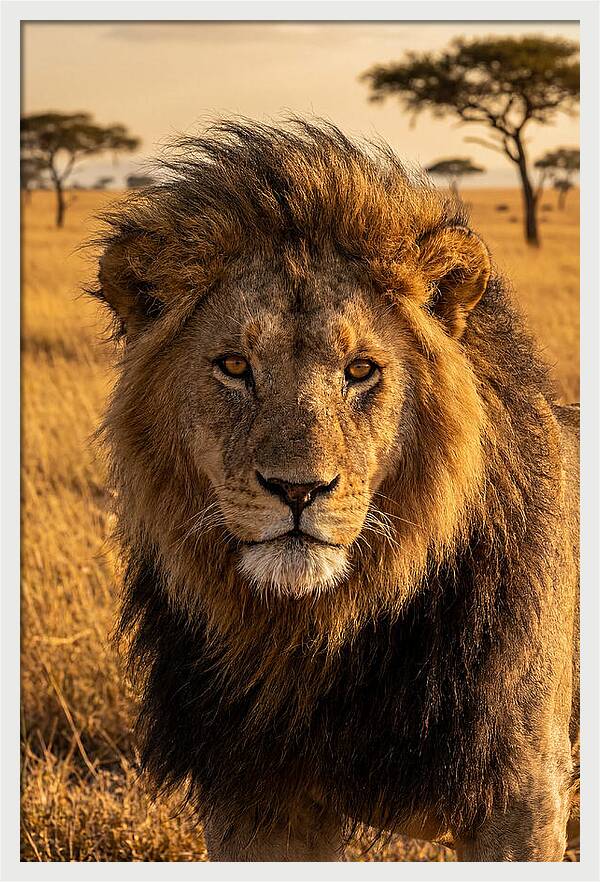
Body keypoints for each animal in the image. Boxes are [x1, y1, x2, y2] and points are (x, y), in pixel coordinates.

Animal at [92, 119, 579, 862]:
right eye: (234, 366)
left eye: (361, 370)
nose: (298, 490)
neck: (319, 635)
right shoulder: (254, 798)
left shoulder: (521, 795)